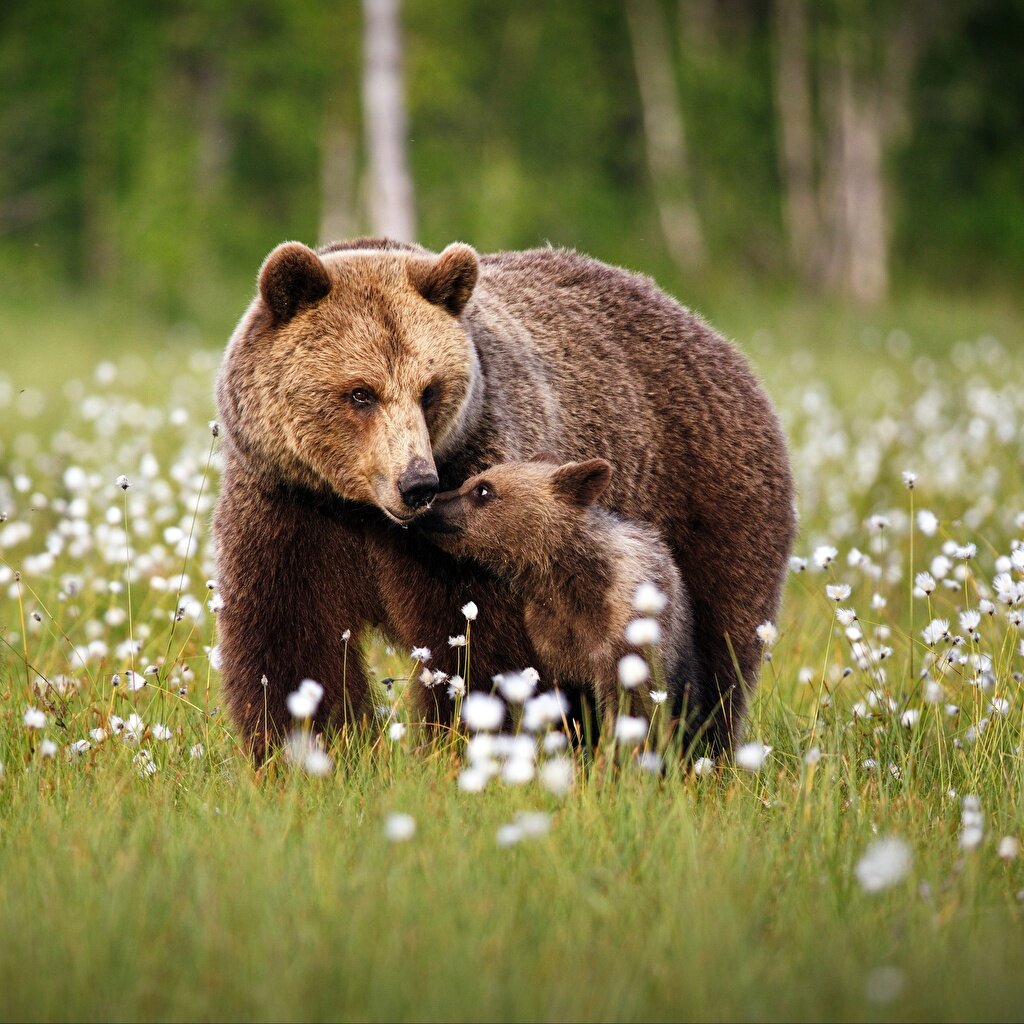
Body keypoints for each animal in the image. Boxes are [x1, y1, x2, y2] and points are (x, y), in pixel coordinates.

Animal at [415, 456, 696, 729]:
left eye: (482, 489)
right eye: (469, 482)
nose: (429, 504)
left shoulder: (625, 638)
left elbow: (631, 703)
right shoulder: (549, 638)